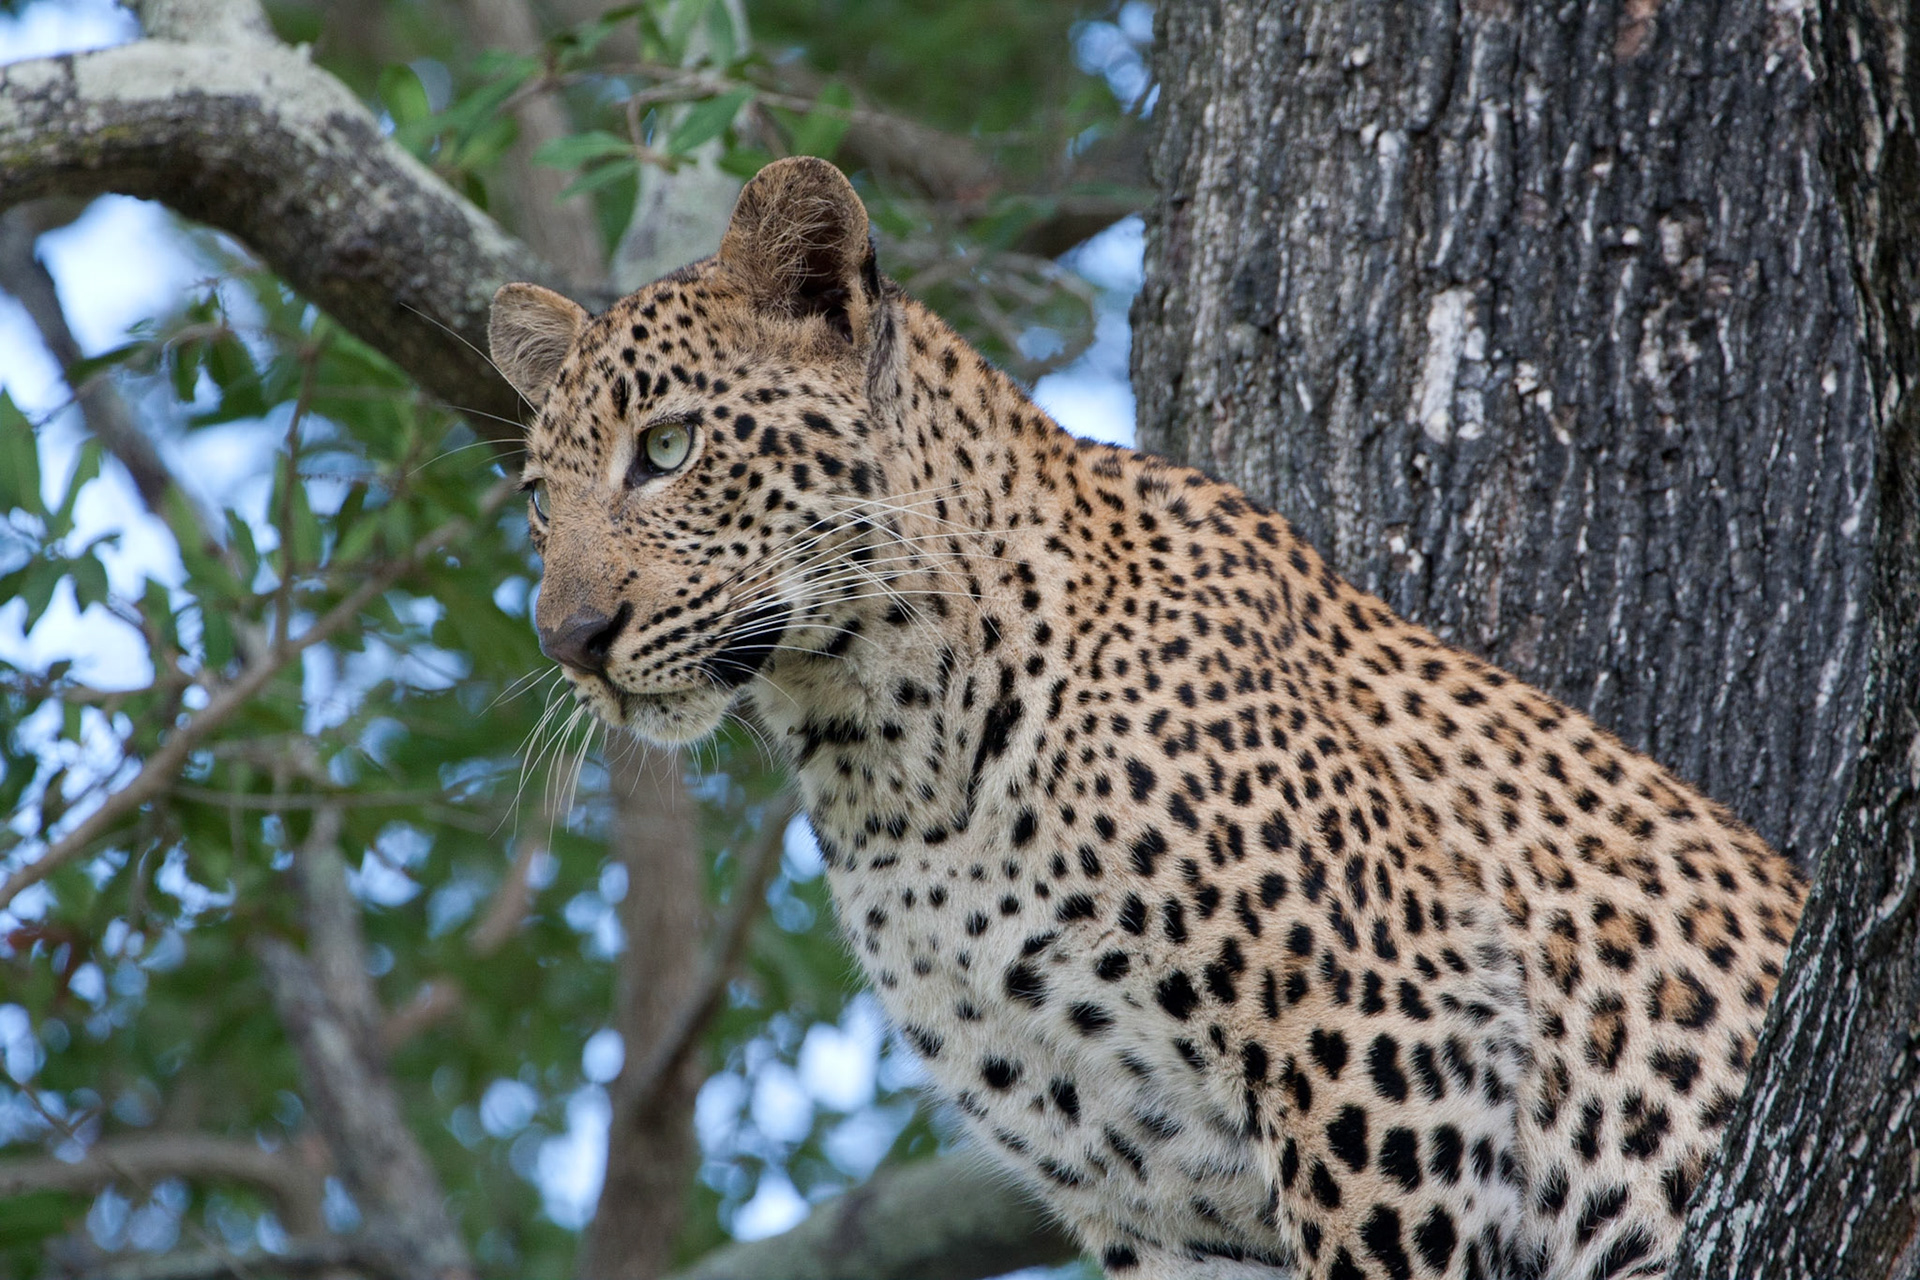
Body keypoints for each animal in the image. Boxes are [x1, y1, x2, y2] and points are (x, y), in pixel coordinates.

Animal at [488, 157, 1806, 1280]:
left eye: (668, 446)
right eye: (542, 503)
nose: (568, 638)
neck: (887, 752)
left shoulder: (1387, 1033)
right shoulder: (1151, 1195)